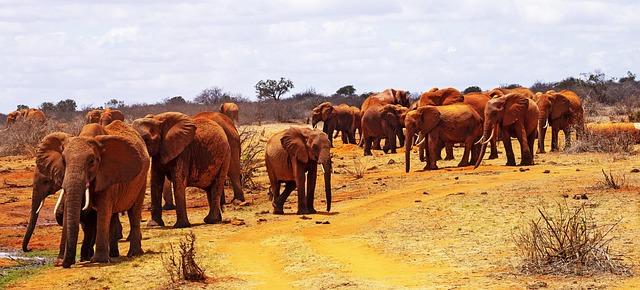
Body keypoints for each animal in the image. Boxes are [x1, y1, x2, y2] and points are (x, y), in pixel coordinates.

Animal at [35, 120, 150, 268]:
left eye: (92, 161)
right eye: (64, 161)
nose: (67, 263)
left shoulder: (107, 174)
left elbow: (103, 209)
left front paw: (99, 260)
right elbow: (68, 208)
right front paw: (60, 261)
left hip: (142, 179)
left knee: (134, 211)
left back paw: (134, 254)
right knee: (113, 216)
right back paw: (114, 255)